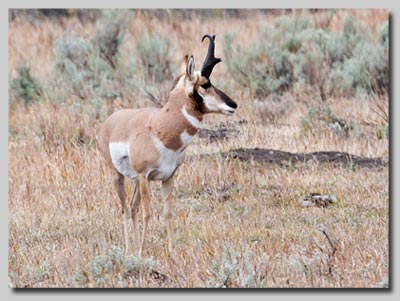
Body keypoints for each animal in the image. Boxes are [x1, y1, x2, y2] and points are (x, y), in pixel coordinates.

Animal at [98, 35, 238, 255]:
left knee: (133, 207)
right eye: (205, 84)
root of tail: (111, 120)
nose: (233, 105)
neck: (158, 129)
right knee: (125, 208)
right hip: (119, 177)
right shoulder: (145, 176)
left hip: (135, 182)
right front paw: (142, 253)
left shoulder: (168, 177)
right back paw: (130, 250)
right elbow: (148, 213)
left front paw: (172, 252)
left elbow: (167, 212)